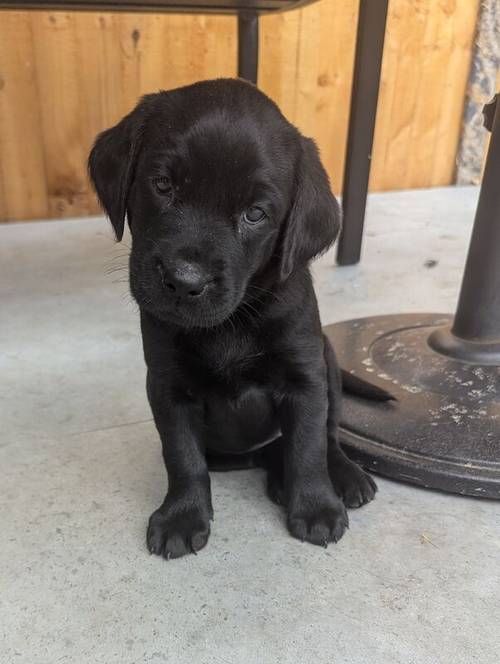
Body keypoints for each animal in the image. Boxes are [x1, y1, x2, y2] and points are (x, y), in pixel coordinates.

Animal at [89, 78, 378, 560]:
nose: (184, 281)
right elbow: (182, 457)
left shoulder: (305, 377)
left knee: (329, 434)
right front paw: (183, 515)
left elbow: (308, 446)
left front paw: (316, 507)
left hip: (330, 360)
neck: (231, 322)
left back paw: (340, 476)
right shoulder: (168, 386)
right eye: (162, 184)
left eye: (255, 213)